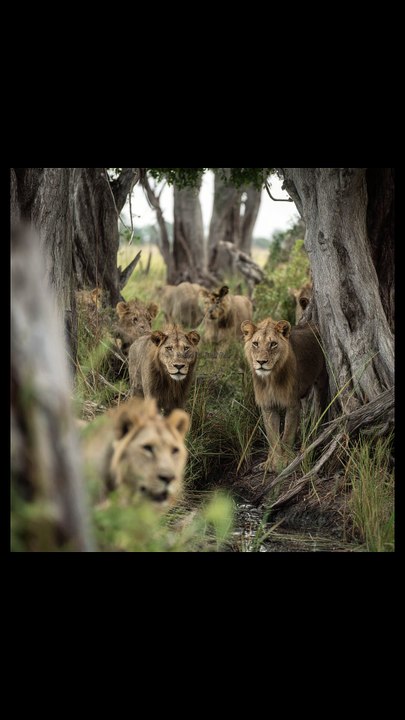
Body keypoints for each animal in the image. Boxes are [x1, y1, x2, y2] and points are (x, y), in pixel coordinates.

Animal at [241, 317, 328, 472]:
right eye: (255, 344)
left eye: (273, 344)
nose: (261, 362)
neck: (270, 379)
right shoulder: (268, 406)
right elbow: (273, 438)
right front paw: (272, 463)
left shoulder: (292, 403)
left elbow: (287, 435)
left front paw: (286, 462)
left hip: (321, 381)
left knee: (318, 412)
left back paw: (310, 442)